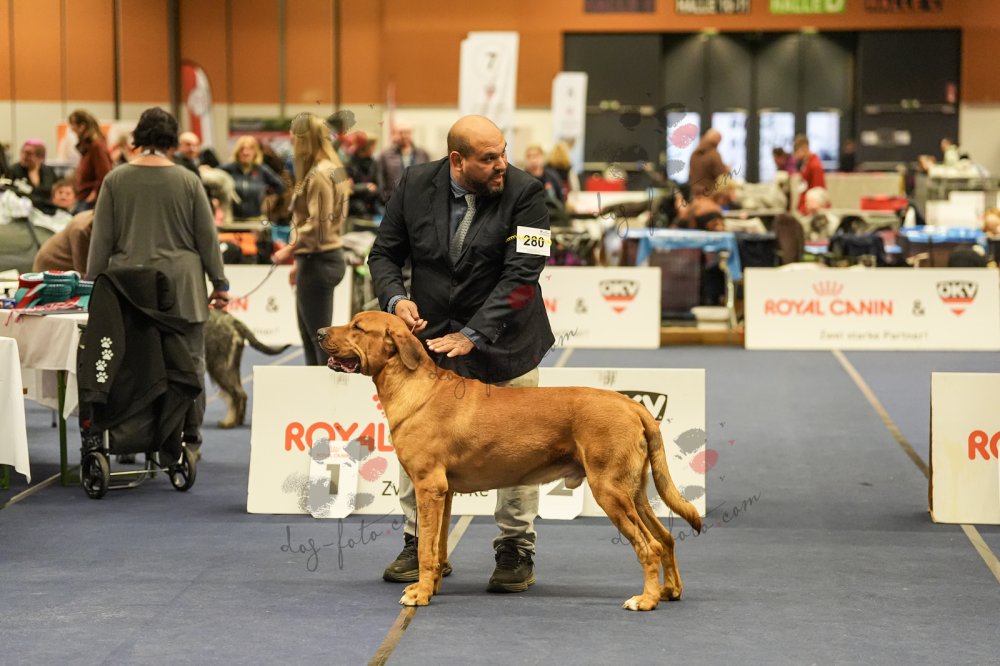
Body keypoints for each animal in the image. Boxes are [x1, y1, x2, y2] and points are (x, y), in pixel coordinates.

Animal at [318, 311, 702, 611]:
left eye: (357, 326)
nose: (320, 333)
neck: (415, 386)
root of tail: (633, 406)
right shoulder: (445, 493)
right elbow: (438, 547)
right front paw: (432, 586)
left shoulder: (429, 486)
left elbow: (426, 549)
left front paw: (420, 595)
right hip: (633, 491)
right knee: (666, 537)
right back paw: (671, 590)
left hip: (610, 490)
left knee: (650, 545)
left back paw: (646, 599)